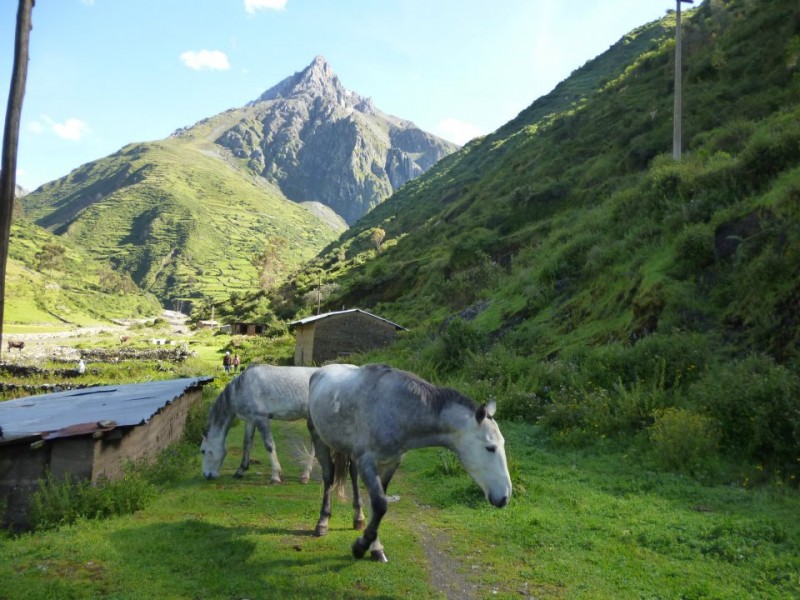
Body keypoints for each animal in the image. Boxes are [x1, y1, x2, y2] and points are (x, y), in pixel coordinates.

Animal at [306, 360, 512, 564]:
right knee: (329, 475)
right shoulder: (367, 461)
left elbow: (378, 506)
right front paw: (360, 548)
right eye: (490, 447)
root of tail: (320, 371)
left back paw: (358, 518)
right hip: (319, 440)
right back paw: (322, 522)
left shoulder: (390, 463)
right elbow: (381, 504)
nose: (504, 497)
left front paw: (375, 548)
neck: (395, 408)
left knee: (352, 474)